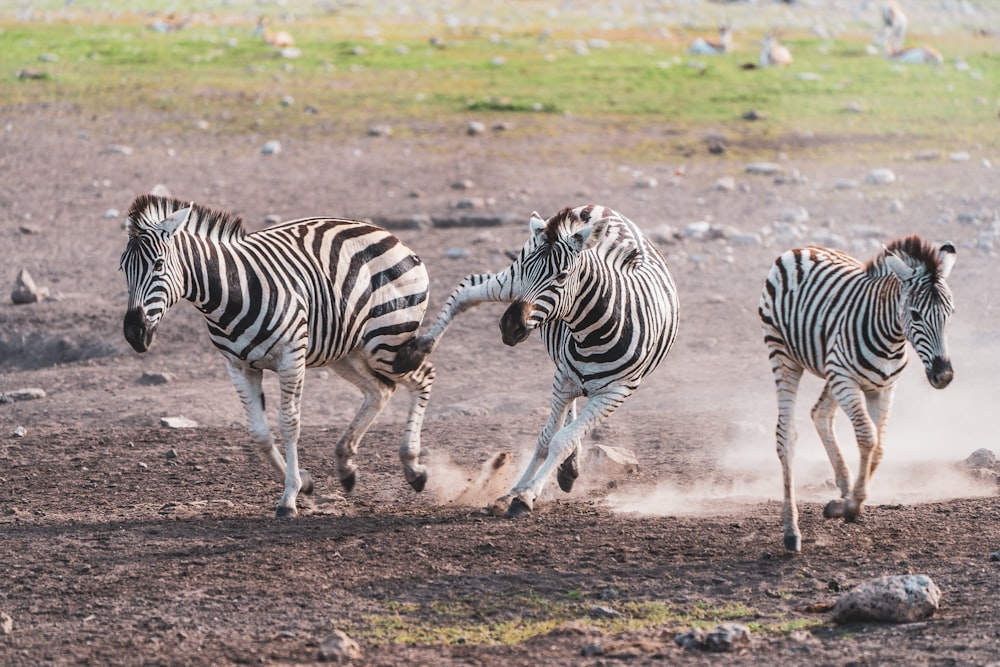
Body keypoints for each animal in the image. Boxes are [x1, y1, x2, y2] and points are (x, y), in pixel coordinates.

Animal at [119, 196, 436, 520]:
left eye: (158, 265)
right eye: (123, 268)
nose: (133, 333)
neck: (230, 294)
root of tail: (387, 234)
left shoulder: (291, 357)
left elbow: (289, 423)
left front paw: (289, 496)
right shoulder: (237, 366)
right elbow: (258, 432)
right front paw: (304, 483)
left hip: (387, 341)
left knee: (423, 377)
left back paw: (413, 467)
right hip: (346, 351)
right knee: (380, 390)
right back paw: (347, 465)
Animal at [390, 206, 680, 520]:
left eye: (562, 276)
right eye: (531, 269)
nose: (509, 326)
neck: (592, 333)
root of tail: (595, 208)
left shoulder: (616, 392)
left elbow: (562, 440)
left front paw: (526, 495)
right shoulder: (563, 379)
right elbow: (545, 439)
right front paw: (514, 493)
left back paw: (569, 468)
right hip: (510, 283)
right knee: (468, 289)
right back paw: (417, 350)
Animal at [760, 235, 956, 552]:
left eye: (950, 315)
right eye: (915, 315)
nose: (944, 375)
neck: (892, 339)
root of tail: (800, 249)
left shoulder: (884, 389)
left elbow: (879, 449)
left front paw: (844, 504)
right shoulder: (846, 381)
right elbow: (867, 438)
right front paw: (852, 505)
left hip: (830, 368)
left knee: (820, 414)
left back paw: (843, 484)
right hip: (784, 356)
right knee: (786, 436)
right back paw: (791, 531)